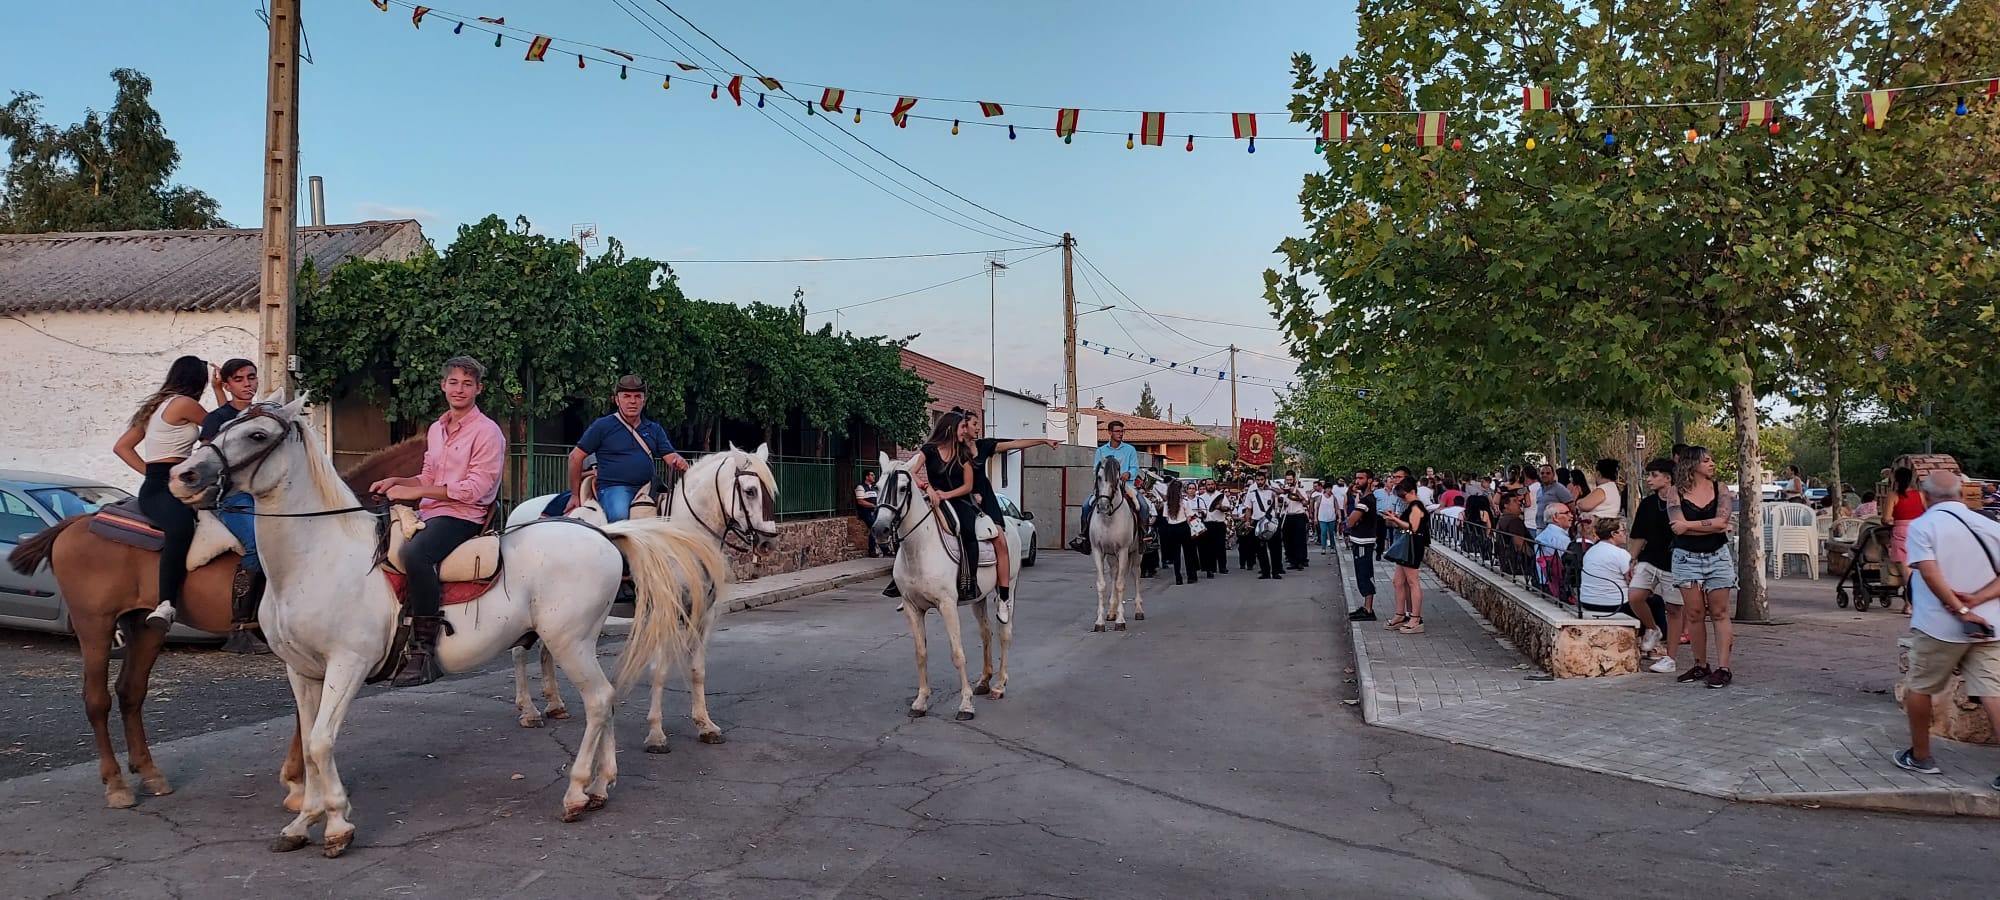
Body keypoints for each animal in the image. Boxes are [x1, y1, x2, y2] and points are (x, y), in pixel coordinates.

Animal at [1, 434, 426, 808]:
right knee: (97, 699)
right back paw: (116, 784)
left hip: (146, 625)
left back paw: (149, 773)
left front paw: (299, 781)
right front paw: (298, 784)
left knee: (130, 691)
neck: (327, 534)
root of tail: (73, 525)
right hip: (96, 625)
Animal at [168, 398, 752, 856]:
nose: (184, 476)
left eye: (257, 435)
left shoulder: (347, 666)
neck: (321, 557)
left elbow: (319, 743)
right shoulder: (302, 672)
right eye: (220, 425)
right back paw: (601, 787)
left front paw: (335, 825)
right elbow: (310, 745)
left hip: (569, 642)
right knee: (603, 700)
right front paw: (303, 820)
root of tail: (606, 535)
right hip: (576, 643)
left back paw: (576, 792)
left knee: (599, 701)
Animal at [868, 454, 1016, 720]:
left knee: (1005, 632)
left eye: (903, 488)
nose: (880, 530)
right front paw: (920, 702)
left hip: (1010, 586)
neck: (921, 548)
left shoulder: (947, 605)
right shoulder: (912, 607)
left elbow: (957, 653)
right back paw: (984, 681)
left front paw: (965, 705)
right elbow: (920, 653)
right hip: (978, 598)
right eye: (877, 486)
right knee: (986, 632)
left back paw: (999, 686)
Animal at [1088, 460, 1152, 628]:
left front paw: (1120, 621)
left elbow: (1121, 584)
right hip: (1112, 555)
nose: (1103, 506)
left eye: (1116, 479)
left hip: (1136, 554)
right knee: (1115, 573)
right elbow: (1102, 584)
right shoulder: (1098, 550)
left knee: (1135, 574)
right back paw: (1111, 611)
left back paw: (1138, 611)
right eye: (1099, 477)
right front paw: (1100, 622)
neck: (1108, 518)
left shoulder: (1123, 551)